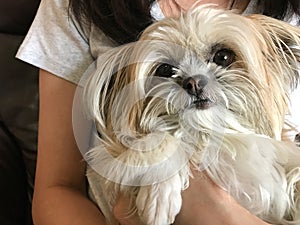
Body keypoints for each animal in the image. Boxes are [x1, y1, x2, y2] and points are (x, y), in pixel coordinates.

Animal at [81, 3, 300, 225]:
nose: (194, 82)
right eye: (165, 69)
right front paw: (159, 194)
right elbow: (160, 138)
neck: (209, 136)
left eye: (223, 57)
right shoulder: (106, 169)